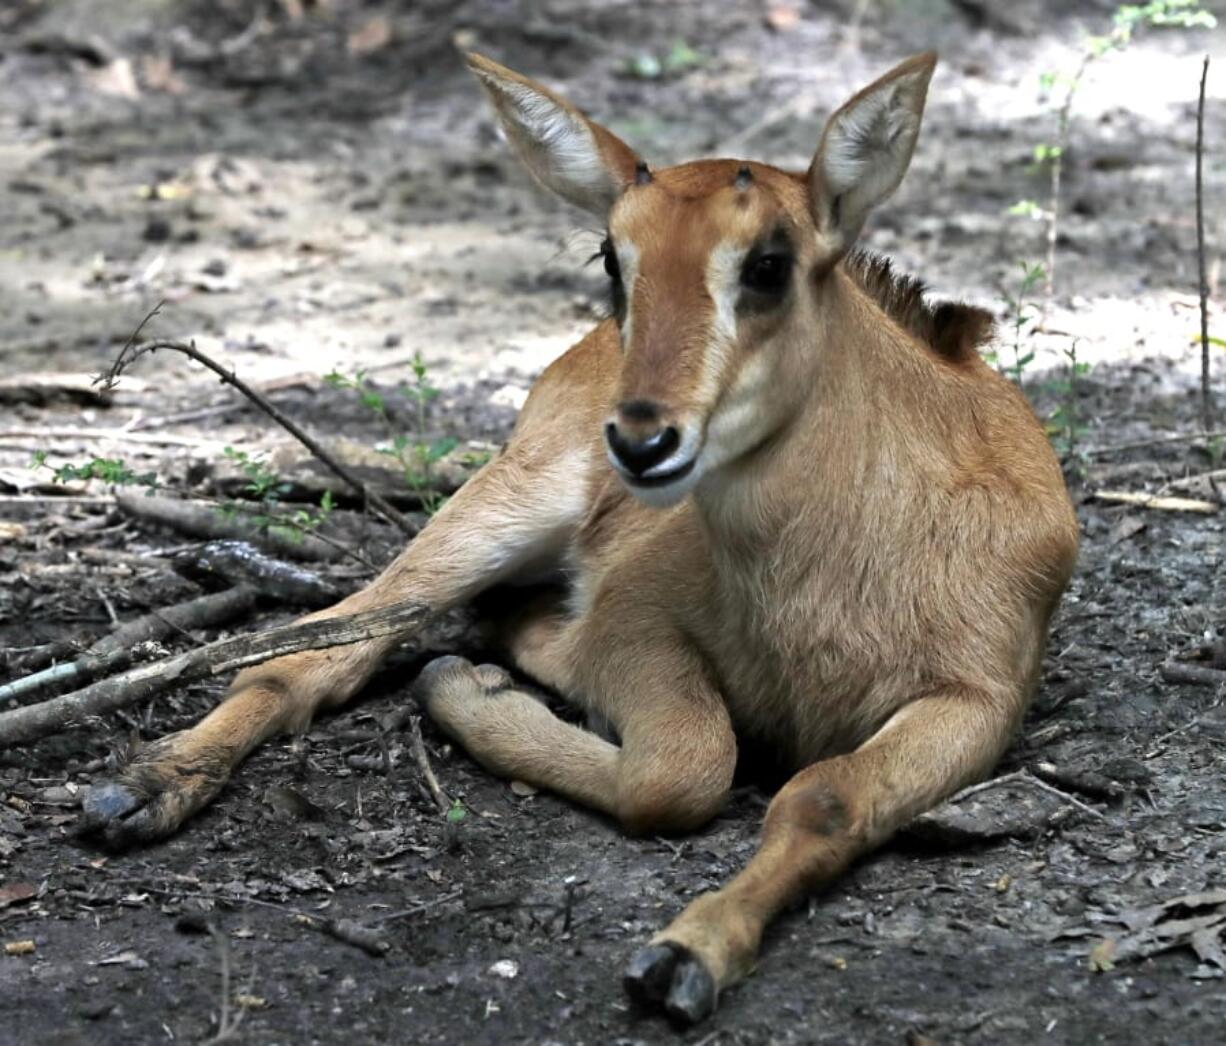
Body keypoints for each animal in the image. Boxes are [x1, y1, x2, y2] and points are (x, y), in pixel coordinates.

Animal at [79, 50, 1073, 1020]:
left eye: (768, 264)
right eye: (612, 258)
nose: (642, 438)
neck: (823, 575)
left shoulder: (978, 701)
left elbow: (824, 797)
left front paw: (686, 957)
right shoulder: (638, 610)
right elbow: (683, 769)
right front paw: (476, 699)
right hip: (503, 506)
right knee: (321, 644)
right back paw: (145, 786)